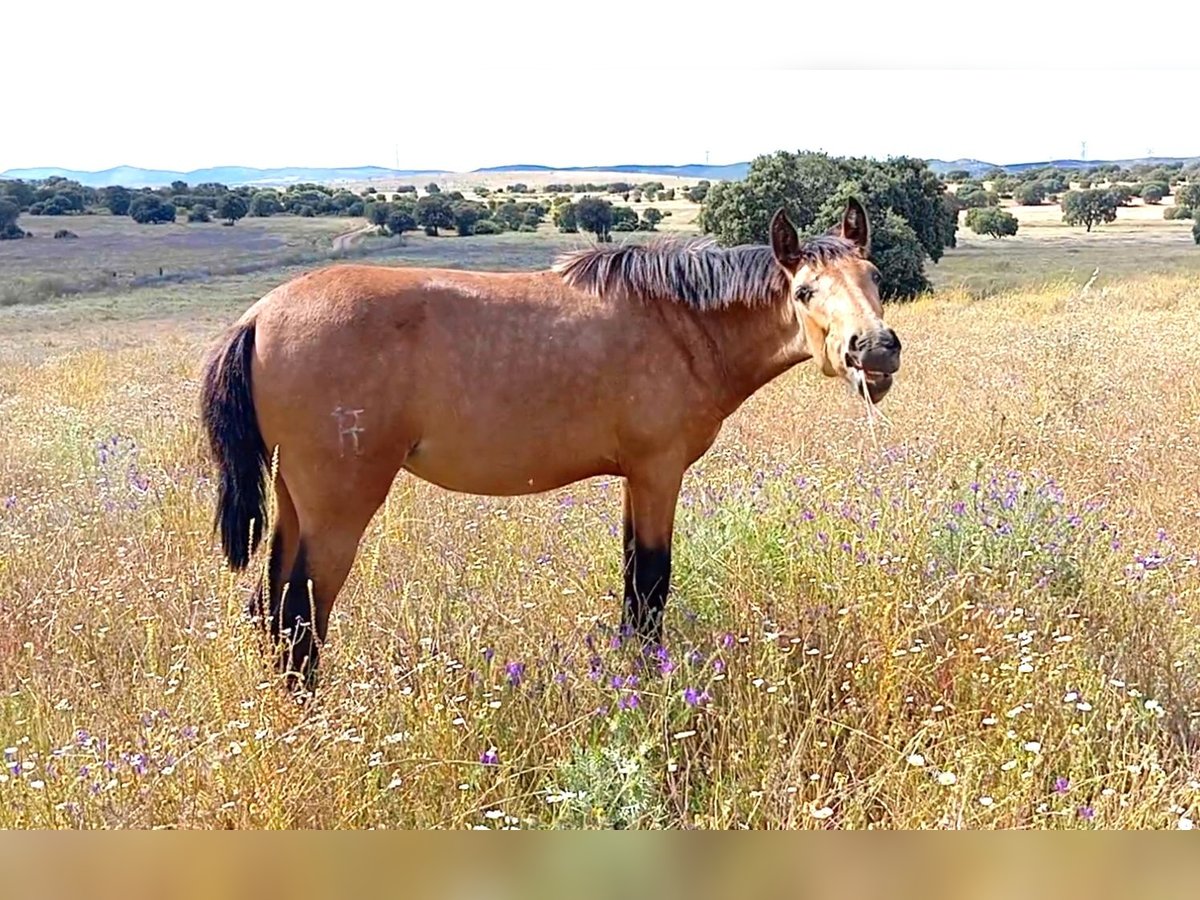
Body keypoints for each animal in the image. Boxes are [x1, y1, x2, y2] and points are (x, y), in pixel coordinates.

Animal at [199, 199, 902, 691]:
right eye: (805, 290)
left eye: (873, 276)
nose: (875, 349)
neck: (679, 323)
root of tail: (258, 315)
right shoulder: (658, 471)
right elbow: (650, 584)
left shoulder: (635, 478)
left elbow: (632, 585)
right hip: (338, 507)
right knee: (299, 614)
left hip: (294, 502)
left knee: (269, 608)